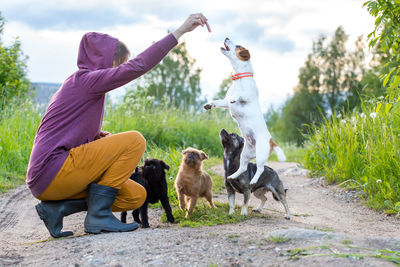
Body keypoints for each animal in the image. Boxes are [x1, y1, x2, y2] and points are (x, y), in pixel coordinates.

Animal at [205, 38, 286, 186]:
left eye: (237, 46)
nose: (226, 37)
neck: (240, 78)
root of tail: (271, 141)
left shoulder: (248, 97)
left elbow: (241, 96)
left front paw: (236, 98)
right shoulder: (225, 102)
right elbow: (219, 101)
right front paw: (209, 105)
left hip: (260, 155)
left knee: (260, 169)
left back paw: (253, 180)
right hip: (245, 155)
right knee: (242, 167)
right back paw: (232, 176)